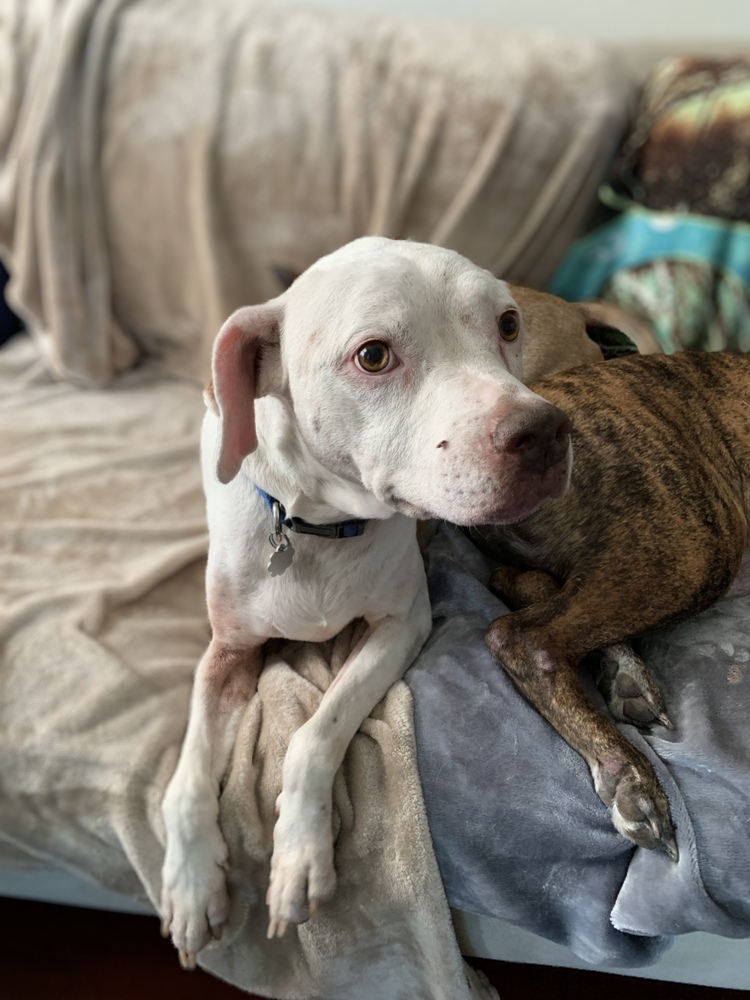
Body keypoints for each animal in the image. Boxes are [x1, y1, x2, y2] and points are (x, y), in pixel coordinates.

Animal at [162, 236, 580, 968]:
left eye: (505, 324)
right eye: (374, 356)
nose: (546, 432)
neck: (316, 528)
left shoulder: (401, 624)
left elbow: (315, 731)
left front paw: (299, 859)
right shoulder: (227, 651)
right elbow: (186, 779)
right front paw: (190, 885)